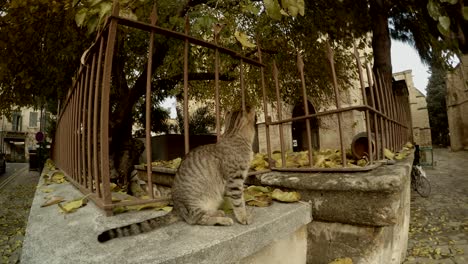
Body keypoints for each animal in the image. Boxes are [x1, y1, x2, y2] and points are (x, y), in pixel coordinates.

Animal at [96, 106, 254, 242]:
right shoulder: (235, 180)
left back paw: (218, 213)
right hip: (197, 203)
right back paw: (222, 219)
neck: (232, 133)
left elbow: (239, 200)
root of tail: (176, 207)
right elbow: (238, 202)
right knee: (195, 220)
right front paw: (243, 217)